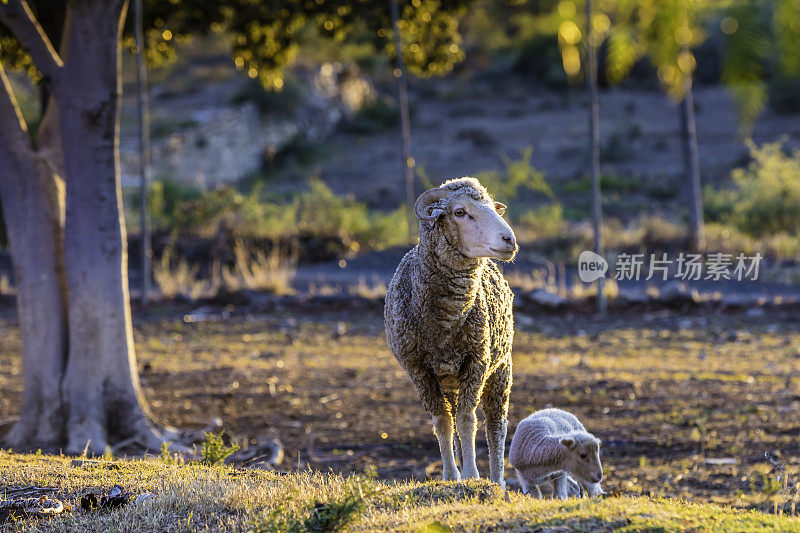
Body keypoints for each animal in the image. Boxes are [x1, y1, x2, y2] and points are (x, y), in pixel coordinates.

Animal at [382, 176, 520, 486]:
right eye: (459, 212)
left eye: (493, 207)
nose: (509, 240)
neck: (445, 321)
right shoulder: (418, 371)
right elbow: (442, 422)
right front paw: (450, 476)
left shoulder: (477, 361)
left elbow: (468, 420)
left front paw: (470, 475)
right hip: (450, 380)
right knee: (454, 416)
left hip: (501, 368)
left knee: (496, 426)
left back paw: (497, 480)